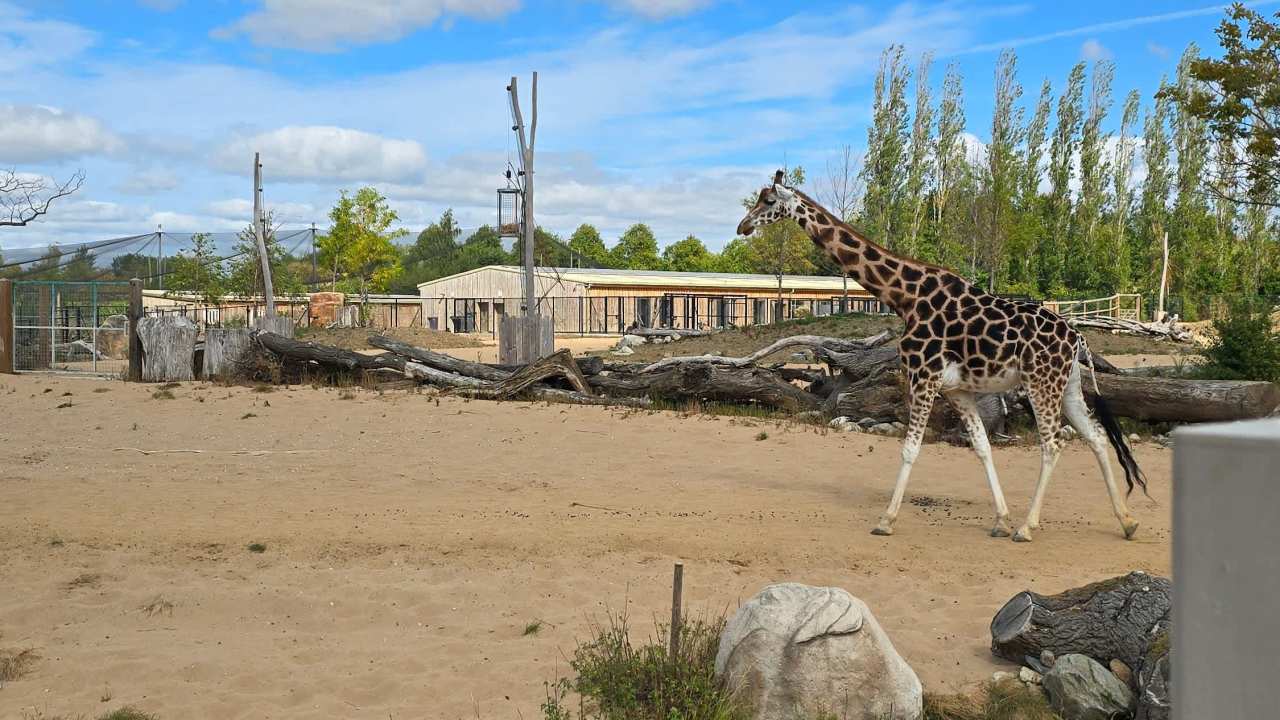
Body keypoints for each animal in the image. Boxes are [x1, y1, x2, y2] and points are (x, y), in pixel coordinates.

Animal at [736, 171, 1146, 542]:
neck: (905, 298)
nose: (743, 226)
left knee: (1053, 444)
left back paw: (1028, 528)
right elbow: (981, 447)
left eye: (768, 201)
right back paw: (1127, 522)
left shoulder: (923, 376)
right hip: (1068, 386)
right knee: (1096, 437)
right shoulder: (956, 389)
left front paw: (886, 520)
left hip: (1040, 383)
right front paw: (1000, 520)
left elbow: (910, 448)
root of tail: (1077, 337)